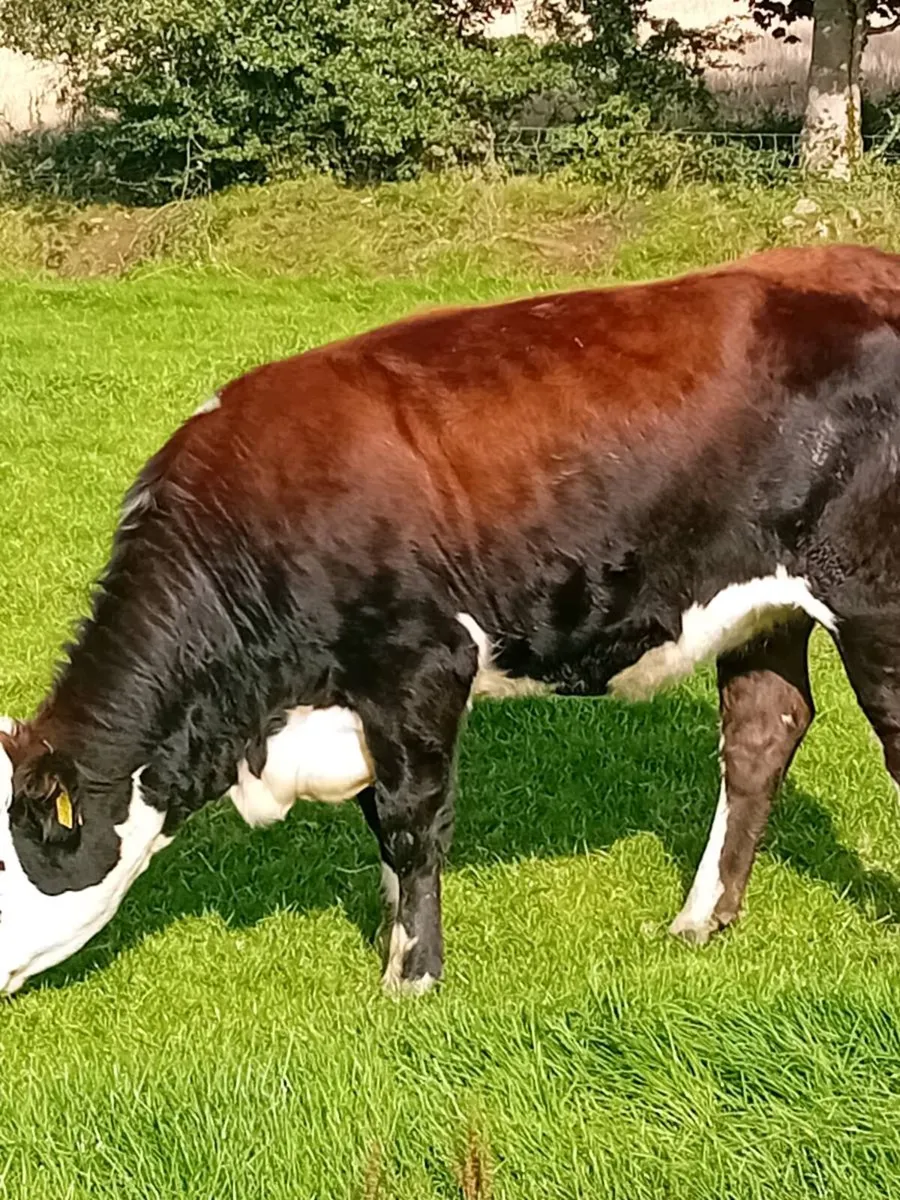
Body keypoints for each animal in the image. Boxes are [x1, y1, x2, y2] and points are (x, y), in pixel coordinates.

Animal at [3, 242, 900, 998]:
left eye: (4, 872)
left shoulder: (420, 664)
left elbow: (411, 823)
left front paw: (412, 977)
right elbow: (381, 825)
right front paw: (393, 942)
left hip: (871, 595)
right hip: (765, 607)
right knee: (762, 732)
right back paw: (699, 919)